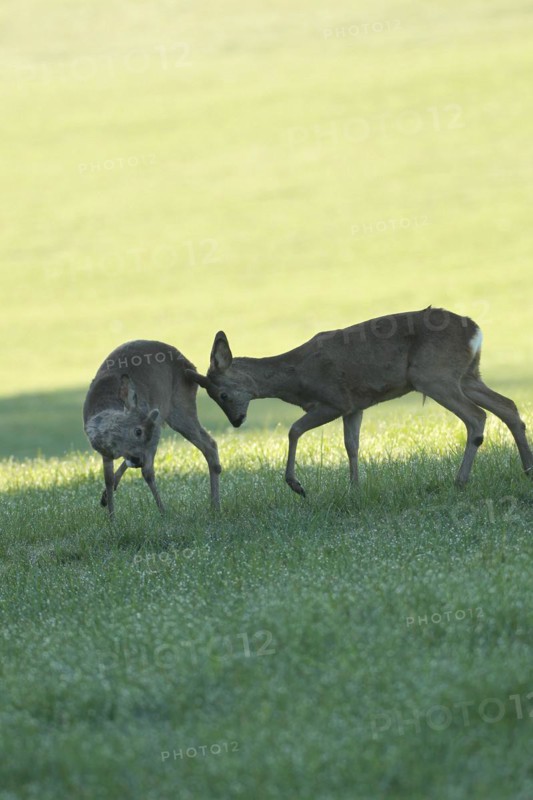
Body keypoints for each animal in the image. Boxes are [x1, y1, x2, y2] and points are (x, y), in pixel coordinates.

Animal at [83, 340, 221, 517]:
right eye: (138, 431)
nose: (138, 460)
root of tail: (191, 366)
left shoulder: (154, 431)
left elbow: (148, 473)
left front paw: (163, 512)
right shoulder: (106, 453)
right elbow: (108, 478)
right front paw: (111, 517)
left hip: (179, 403)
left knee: (209, 443)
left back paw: (215, 505)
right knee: (208, 443)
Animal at [185, 307, 533, 498]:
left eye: (222, 394)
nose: (236, 421)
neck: (296, 378)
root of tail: (476, 330)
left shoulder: (334, 400)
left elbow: (294, 430)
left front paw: (296, 484)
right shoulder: (355, 406)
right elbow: (351, 445)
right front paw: (354, 488)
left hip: (435, 376)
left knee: (477, 417)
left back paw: (460, 481)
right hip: (468, 375)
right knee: (509, 407)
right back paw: (528, 469)